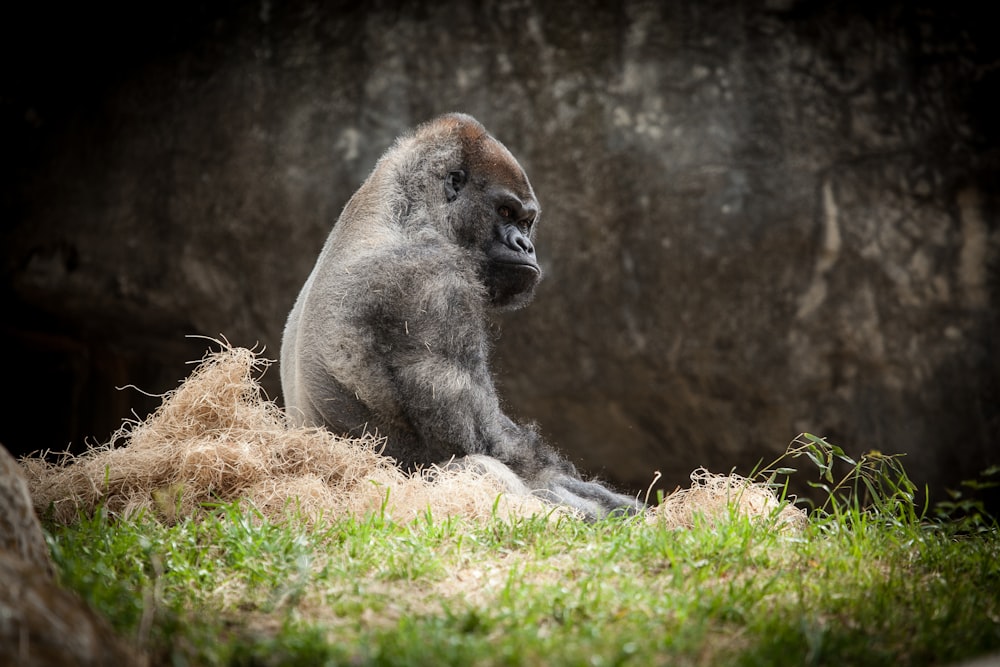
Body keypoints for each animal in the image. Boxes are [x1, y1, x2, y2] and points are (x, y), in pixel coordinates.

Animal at [282, 113, 640, 520]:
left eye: (527, 221)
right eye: (505, 212)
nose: (526, 246)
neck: (403, 206)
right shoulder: (432, 282)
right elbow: (480, 441)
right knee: (475, 464)